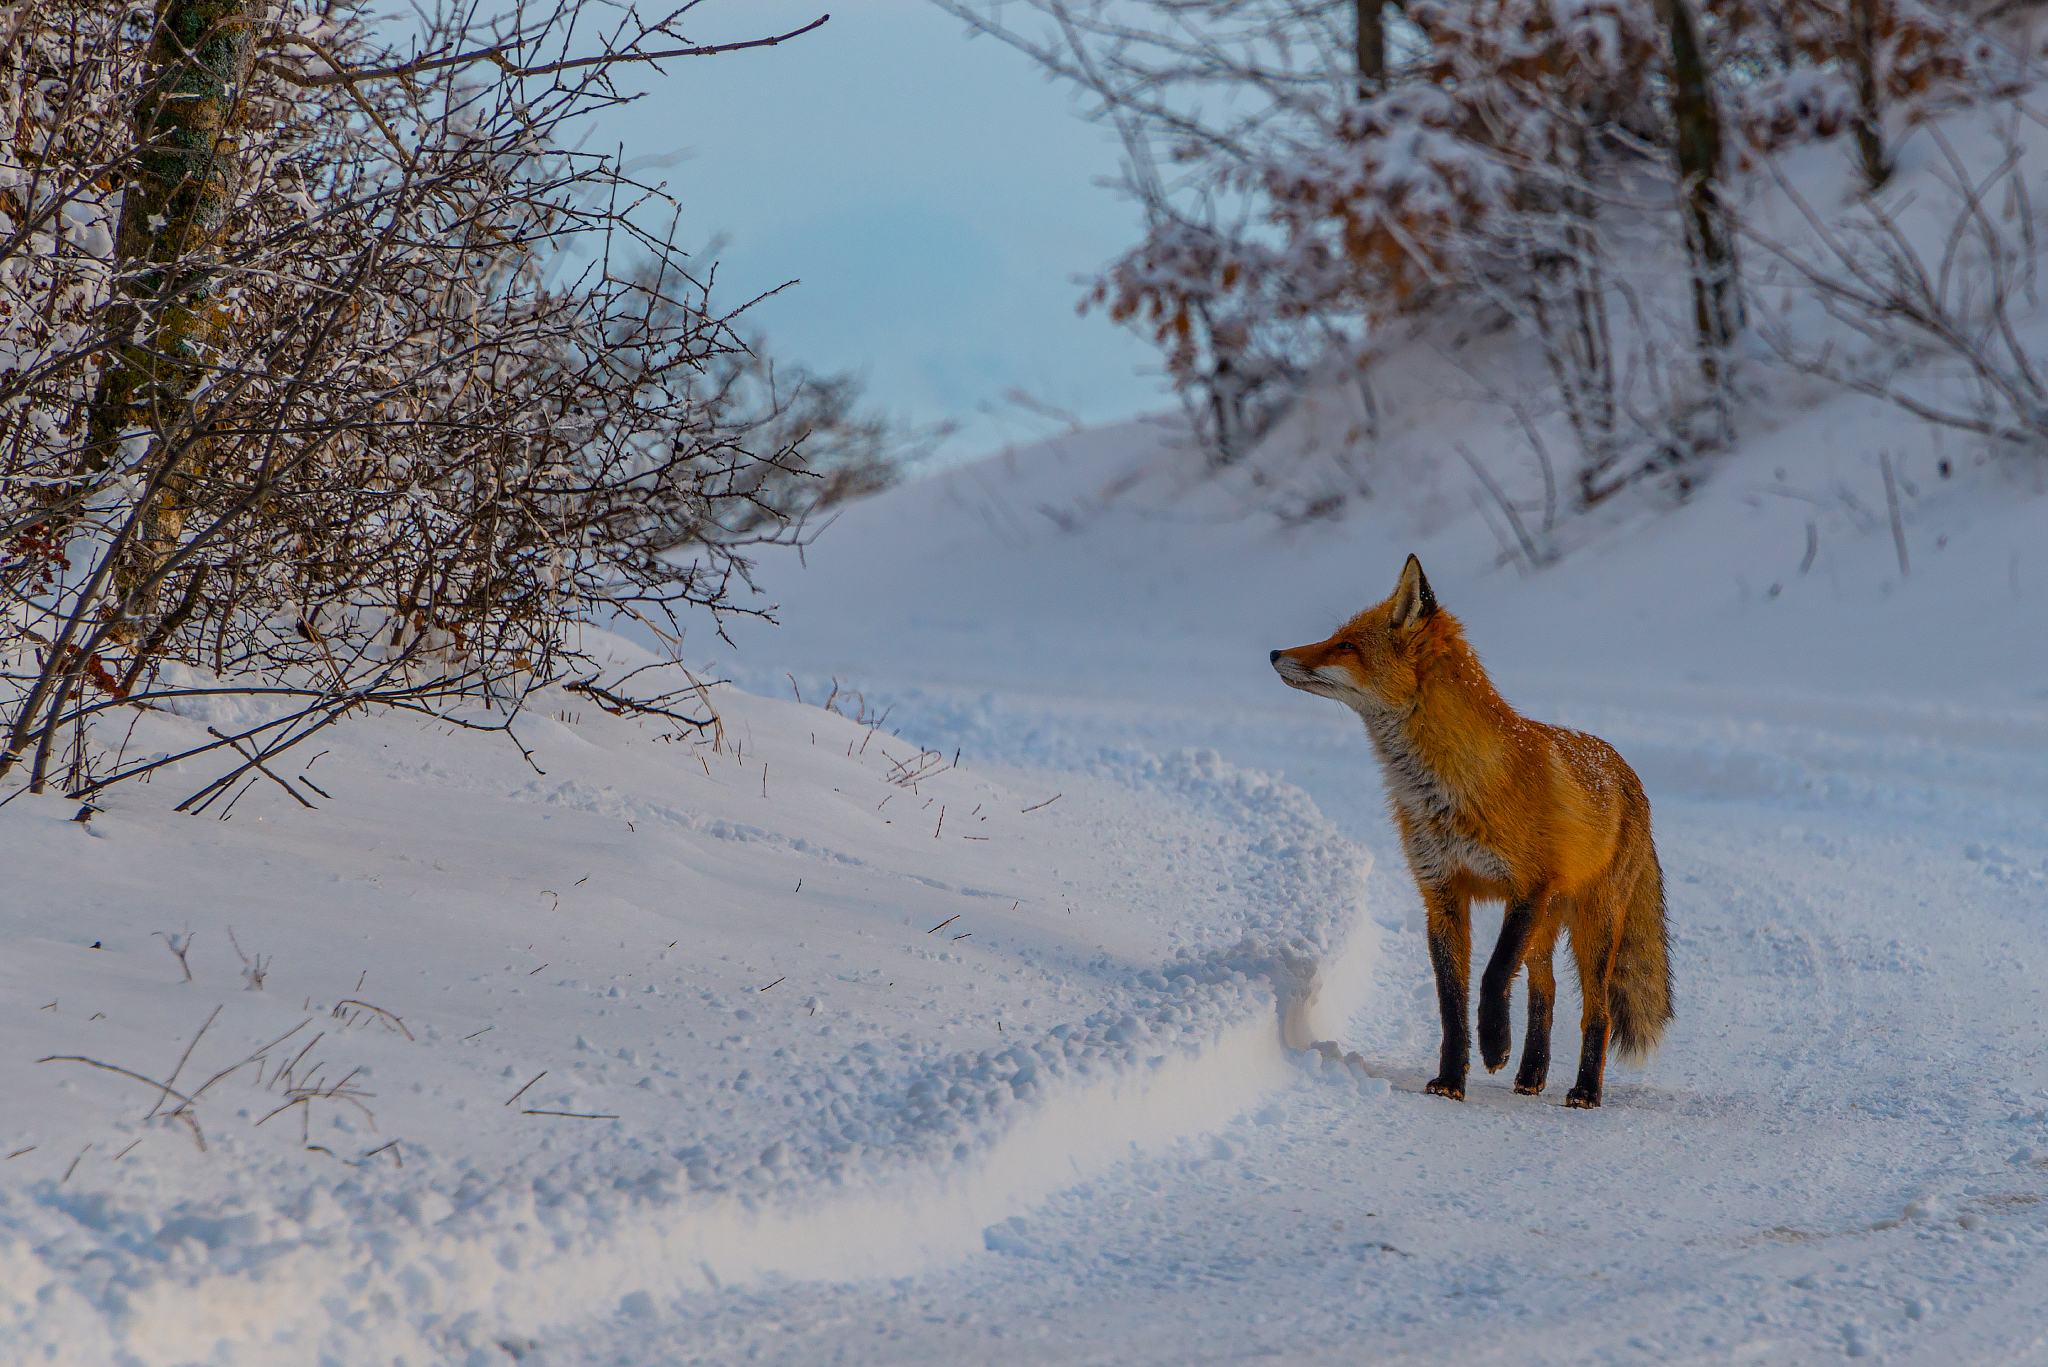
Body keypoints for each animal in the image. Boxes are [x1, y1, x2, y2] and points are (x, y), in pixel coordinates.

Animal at [1269, 561, 1671, 1106]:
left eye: (1346, 646)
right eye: (1335, 638)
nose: (1275, 653)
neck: (1449, 788)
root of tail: (1630, 776)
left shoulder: (1528, 887)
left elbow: (1492, 975)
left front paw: (1494, 1044)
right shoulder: (1441, 892)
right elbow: (1451, 1004)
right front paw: (1450, 1081)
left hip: (1592, 924)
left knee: (1598, 1011)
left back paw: (1585, 1089)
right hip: (1546, 927)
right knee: (1544, 991)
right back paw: (1531, 1073)